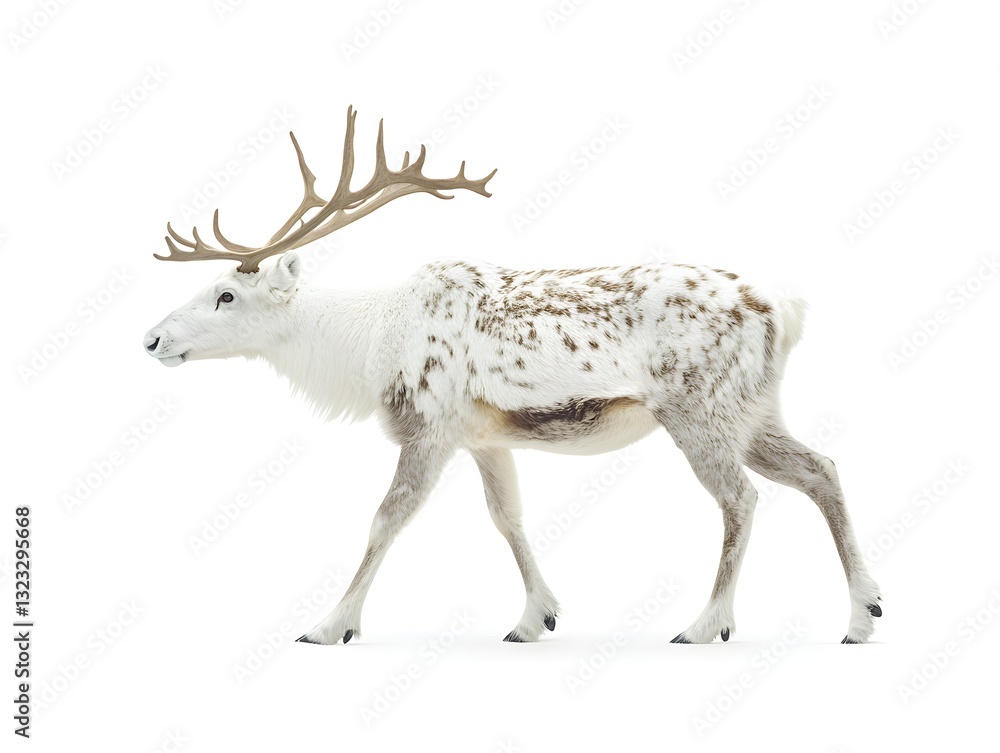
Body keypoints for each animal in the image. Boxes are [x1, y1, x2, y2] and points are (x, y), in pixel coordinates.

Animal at [144, 106, 882, 645]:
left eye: (225, 296)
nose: (151, 338)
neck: (368, 343)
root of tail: (786, 309)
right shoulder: (483, 437)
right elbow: (508, 517)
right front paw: (535, 617)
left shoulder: (430, 425)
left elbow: (386, 518)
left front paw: (330, 624)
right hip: (755, 409)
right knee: (821, 467)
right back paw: (861, 614)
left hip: (699, 408)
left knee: (741, 497)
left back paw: (705, 625)